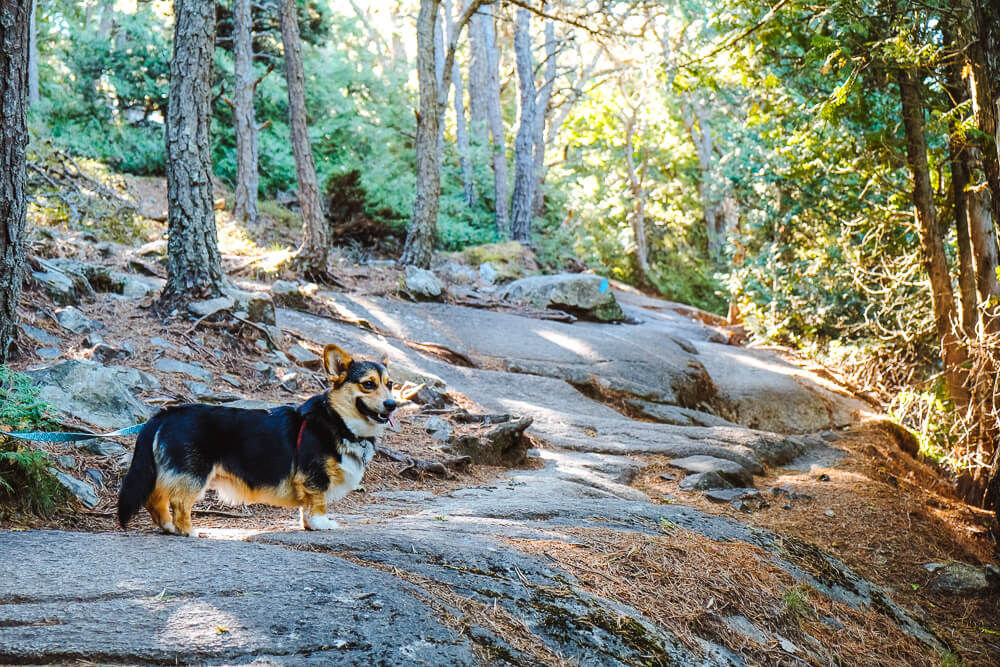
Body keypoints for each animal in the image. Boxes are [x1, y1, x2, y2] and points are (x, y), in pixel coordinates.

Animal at [117, 344, 394, 536]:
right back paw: (189, 531)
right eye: (368, 384)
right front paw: (321, 524)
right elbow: (317, 504)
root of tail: (166, 414)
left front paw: (308, 525)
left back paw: (169, 527)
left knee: (155, 500)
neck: (339, 421)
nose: (392, 404)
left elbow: (305, 508)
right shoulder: (315, 479)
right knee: (178, 502)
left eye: (390, 384)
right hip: (194, 473)